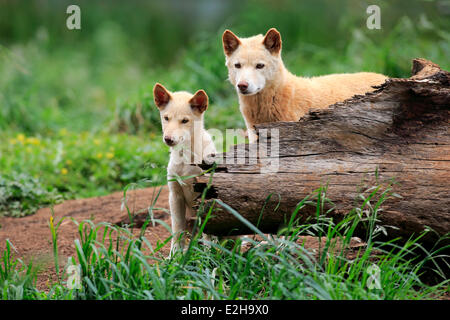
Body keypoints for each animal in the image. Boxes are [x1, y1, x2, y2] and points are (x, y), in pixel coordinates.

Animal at [153, 83, 216, 255]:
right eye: (166, 118)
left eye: (185, 120)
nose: (168, 139)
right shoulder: (175, 196)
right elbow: (177, 229)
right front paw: (174, 255)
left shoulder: (207, 195)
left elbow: (208, 231)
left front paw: (208, 255)